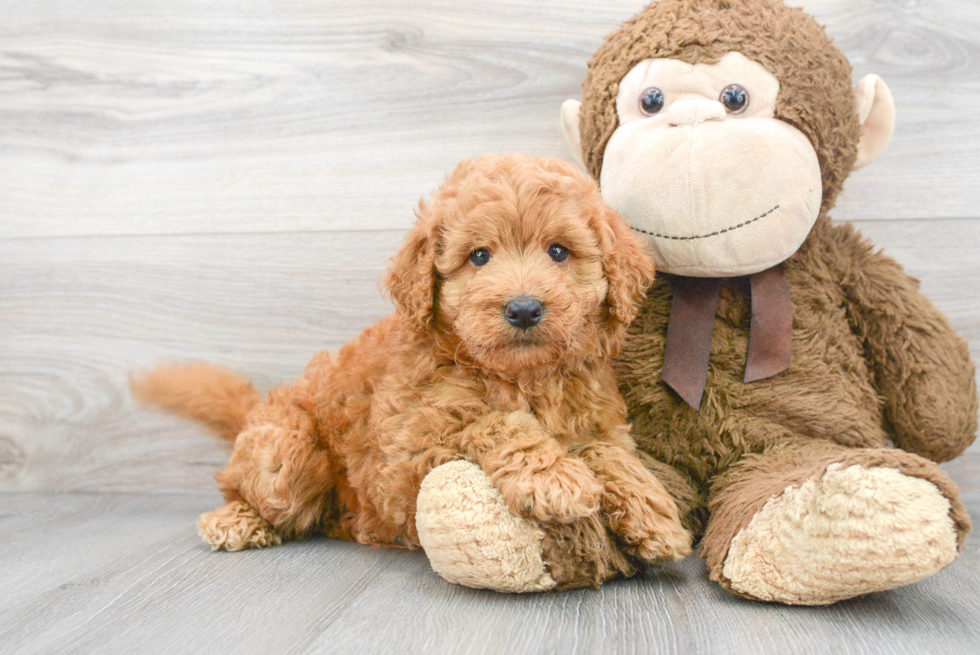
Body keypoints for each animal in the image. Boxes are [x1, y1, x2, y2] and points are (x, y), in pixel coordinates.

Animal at [134, 152, 692, 564]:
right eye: (479, 256)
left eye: (559, 252)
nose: (523, 309)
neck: (523, 378)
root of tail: (260, 407)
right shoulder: (405, 462)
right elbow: (493, 423)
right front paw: (552, 476)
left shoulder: (599, 421)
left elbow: (608, 453)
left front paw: (654, 514)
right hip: (286, 453)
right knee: (253, 490)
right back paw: (235, 521)